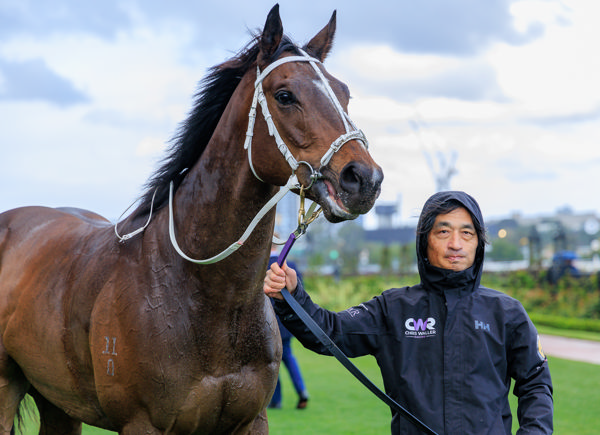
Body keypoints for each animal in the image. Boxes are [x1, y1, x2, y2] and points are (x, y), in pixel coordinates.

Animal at [0, 5, 382, 434]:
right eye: (285, 96)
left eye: (345, 93)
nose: (364, 178)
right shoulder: (142, 423)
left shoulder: (251, 421)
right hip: (5, 387)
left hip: (59, 403)